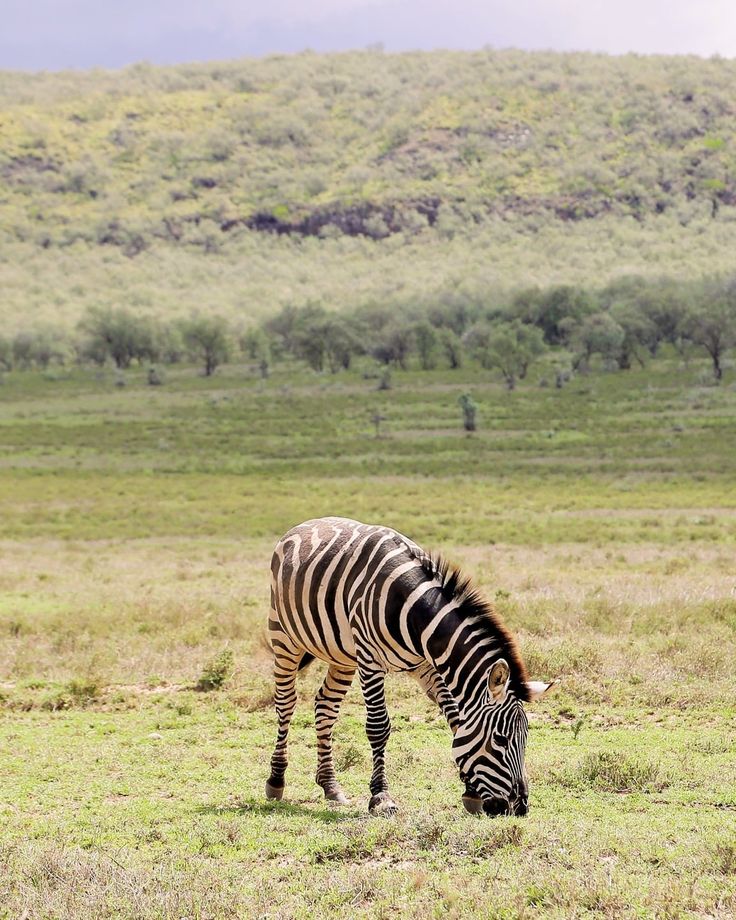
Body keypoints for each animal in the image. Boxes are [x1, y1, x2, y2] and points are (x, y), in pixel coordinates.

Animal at [264, 512, 552, 816]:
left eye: (526, 737)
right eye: (500, 739)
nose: (519, 807)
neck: (415, 613)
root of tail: (305, 523)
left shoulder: (428, 666)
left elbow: (455, 720)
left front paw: (470, 792)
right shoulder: (370, 660)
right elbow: (378, 727)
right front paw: (381, 797)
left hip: (342, 654)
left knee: (326, 706)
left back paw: (330, 785)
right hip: (283, 636)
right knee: (286, 702)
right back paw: (276, 780)